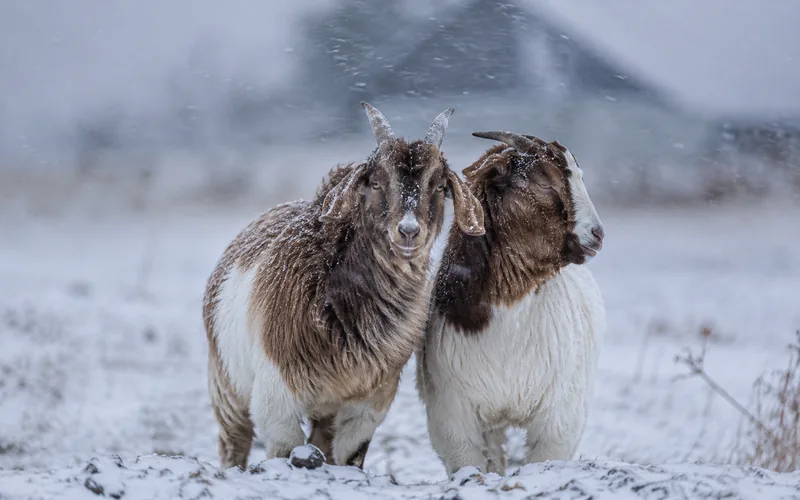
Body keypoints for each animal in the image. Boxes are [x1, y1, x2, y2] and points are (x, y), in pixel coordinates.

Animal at [202, 102, 485, 471]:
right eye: (375, 183)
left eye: (438, 187)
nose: (409, 231)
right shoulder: (276, 393)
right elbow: (283, 447)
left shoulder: (370, 402)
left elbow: (350, 455)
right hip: (226, 387)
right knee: (234, 441)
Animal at [417, 131, 606, 477]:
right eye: (544, 183)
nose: (597, 234)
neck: (509, 318)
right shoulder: (453, 414)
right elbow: (470, 460)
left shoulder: (559, 414)